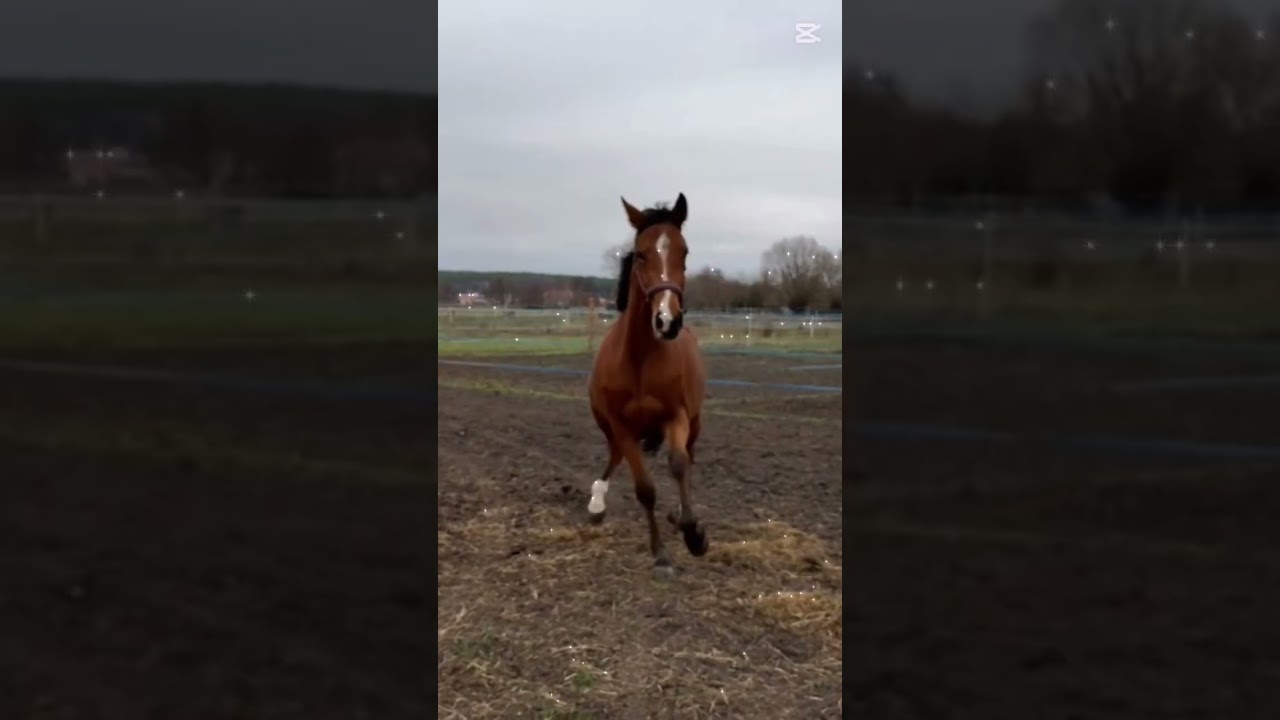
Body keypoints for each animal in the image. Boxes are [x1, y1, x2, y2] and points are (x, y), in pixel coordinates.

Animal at [587, 192, 709, 573]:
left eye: (685, 251)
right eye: (640, 254)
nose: (667, 320)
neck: (640, 359)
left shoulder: (676, 417)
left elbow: (679, 464)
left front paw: (694, 533)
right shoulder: (621, 425)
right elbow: (645, 489)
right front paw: (660, 554)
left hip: (695, 423)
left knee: (689, 459)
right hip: (609, 426)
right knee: (614, 456)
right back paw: (596, 501)